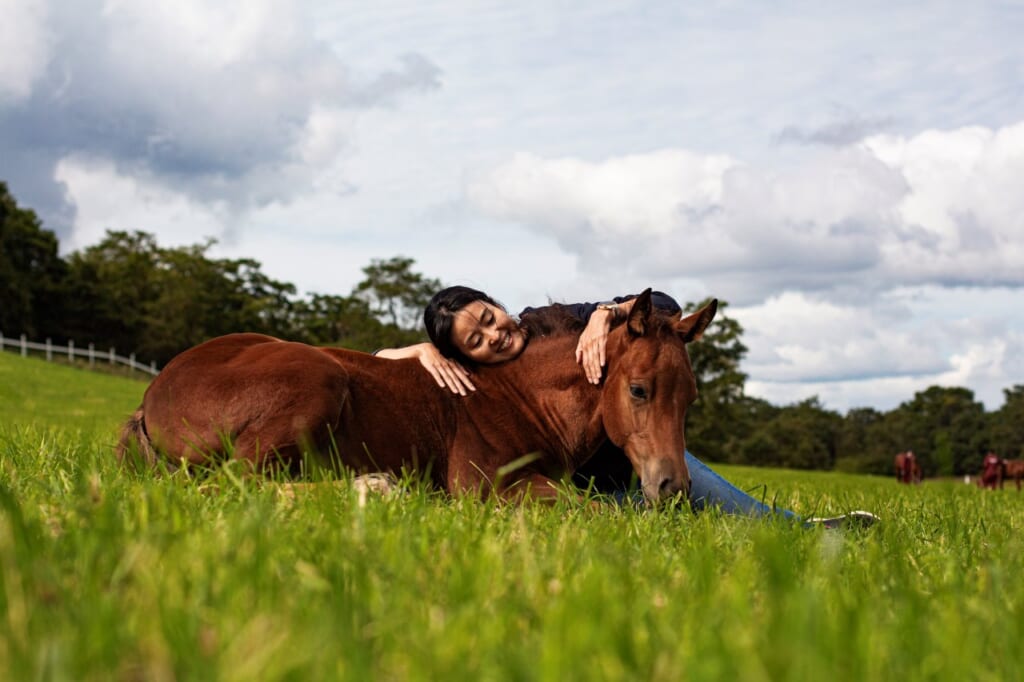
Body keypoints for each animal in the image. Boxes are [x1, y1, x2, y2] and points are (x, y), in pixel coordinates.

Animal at [116, 290, 718, 503]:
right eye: (638, 389)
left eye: (689, 399)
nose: (673, 489)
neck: (522, 398)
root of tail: (152, 395)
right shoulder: (483, 487)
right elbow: (586, 511)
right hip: (318, 379)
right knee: (235, 483)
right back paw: (378, 487)